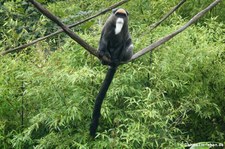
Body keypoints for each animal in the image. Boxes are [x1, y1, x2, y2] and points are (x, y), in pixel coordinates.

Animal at [89, 7, 134, 136]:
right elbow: (104, 39)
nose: (120, 19)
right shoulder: (109, 24)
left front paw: (117, 59)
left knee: (129, 45)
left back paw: (116, 60)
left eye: (123, 16)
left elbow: (124, 43)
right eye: (118, 14)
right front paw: (103, 52)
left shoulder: (126, 27)